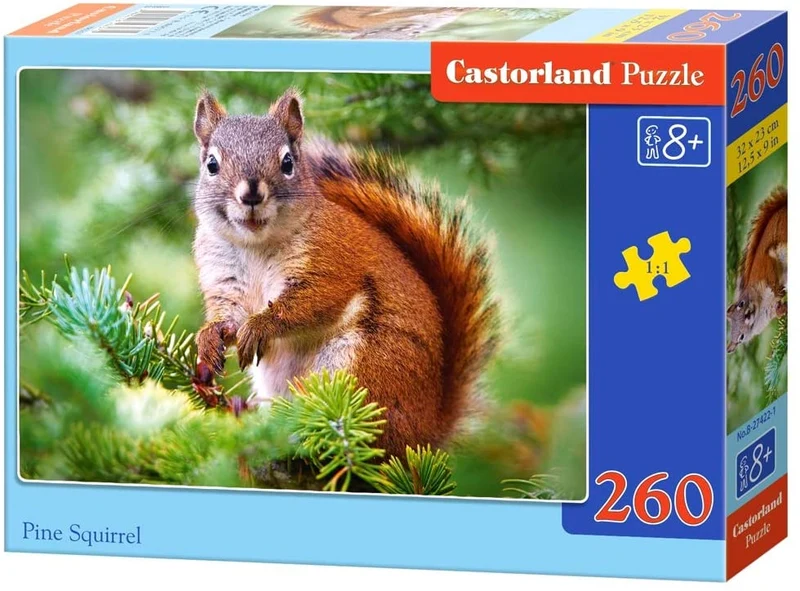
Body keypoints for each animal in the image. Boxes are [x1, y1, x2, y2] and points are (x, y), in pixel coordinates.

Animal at [192, 88, 499, 456]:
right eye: (212, 164)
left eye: (287, 163)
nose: (251, 193)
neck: (256, 246)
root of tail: (427, 431)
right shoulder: (223, 276)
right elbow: (228, 315)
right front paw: (210, 338)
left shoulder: (331, 262)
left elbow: (310, 303)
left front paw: (259, 326)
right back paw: (247, 413)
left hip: (361, 366)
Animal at [727, 185, 787, 353]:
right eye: (741, 338)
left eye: (741, 304)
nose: (749, 314)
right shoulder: (770, 310)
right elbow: (778, 310)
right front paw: (784, 310)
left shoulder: (765, 270)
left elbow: (772, 279)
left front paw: (779, 291)